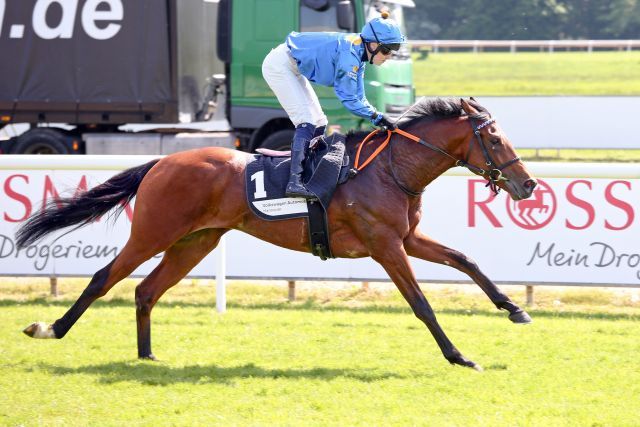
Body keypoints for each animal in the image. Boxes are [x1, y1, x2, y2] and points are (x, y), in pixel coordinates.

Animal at [18, 97, 536, 372]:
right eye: (494, 139)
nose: (528, 185)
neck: (391, 168)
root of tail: (163, 162)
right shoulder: (385, 245)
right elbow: (421, 304)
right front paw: (459, 355)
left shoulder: (407, 238)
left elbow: (466, 259)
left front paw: (515, 309)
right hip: (154, 232)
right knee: (103, 278)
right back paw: (50, 327)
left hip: (195, 242)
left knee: (146, 290)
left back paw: (147, 356)